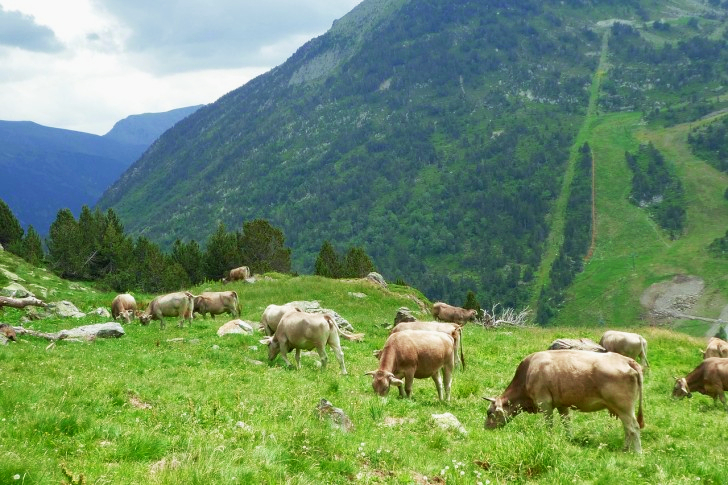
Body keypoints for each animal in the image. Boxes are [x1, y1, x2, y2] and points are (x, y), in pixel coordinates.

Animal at [484, 350, 644, 453]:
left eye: (489, 412)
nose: (485, 428)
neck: (528, 372)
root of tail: (627, 360)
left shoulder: (545, 403)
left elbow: (549, 424)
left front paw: (549, 439)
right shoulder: (562, 404)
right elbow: (566, 423)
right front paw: (570, 440)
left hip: (624, 407)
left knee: (633, 427)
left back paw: (638, 453)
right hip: (620, 409)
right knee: (627, 428)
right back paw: (624, 449)